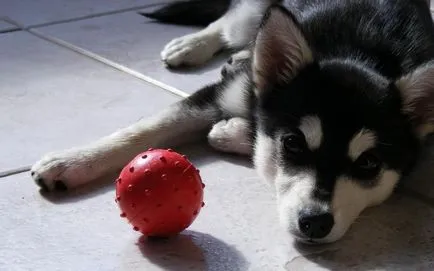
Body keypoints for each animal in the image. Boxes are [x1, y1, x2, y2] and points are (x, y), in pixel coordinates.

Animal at [29, 0, 434, 245]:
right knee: (230, 21)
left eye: (369, 164)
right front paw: (72, 161)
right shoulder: (220, 96)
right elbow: (145, 129)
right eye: (293, 143)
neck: (358, 54)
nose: (315, 223)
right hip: (252, 15)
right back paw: (195, 45)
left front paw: (235, 132)